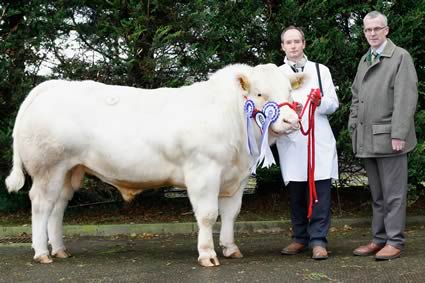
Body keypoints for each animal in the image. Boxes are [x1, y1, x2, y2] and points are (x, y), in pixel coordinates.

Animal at [4, 63, 300, 268]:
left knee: (58, 207)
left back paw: (60, 249)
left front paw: (230, 248)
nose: (291, 120)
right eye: (260, 93)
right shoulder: (203, 170)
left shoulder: (236, 176)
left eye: (290, 92)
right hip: (48, 168)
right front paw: (207, 255)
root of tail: (51, 86)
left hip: (69, 170)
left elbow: (231, 214)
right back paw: (42, 253)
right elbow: (207, 215)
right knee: (41, 205)